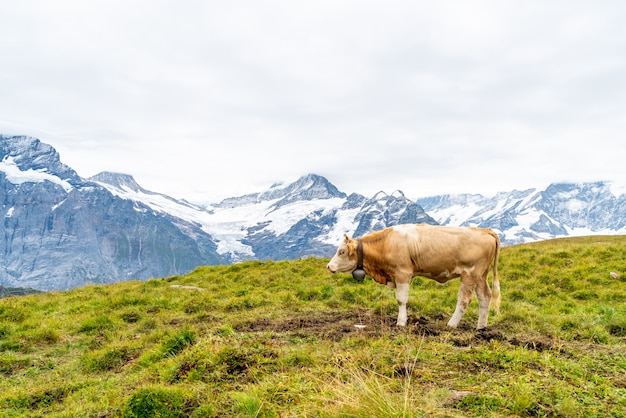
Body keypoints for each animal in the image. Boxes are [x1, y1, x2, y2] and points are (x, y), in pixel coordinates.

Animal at [324, 224, 500, 328]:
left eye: (342, 251)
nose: (329, 266)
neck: (386, 243)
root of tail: (485, 230)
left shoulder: (402, 273)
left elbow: (401, 300)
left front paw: (401, 322)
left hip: (470, 274)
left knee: (464, 300)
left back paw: (451, 324)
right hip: (480, 275)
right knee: (485, 297)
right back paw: (481, 327)